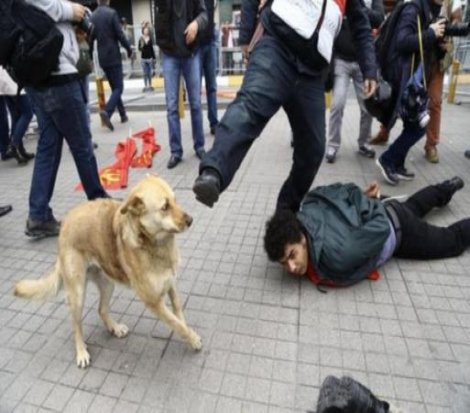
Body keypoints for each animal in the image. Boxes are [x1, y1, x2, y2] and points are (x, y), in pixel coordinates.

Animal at [14, 174, 202, 366]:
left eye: (175, 200)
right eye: (165, 207)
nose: (191, 220)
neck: (152, 243)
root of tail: (65, 223)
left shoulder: (171, 284)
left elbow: (179, 315)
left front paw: (188, 335)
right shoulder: (153, 302)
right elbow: (177, 324)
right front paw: (193, 339)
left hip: (108, 283)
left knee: (101, 310)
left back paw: (115, 328)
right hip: (77, 295)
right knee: (76, 325)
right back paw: (81, 352)